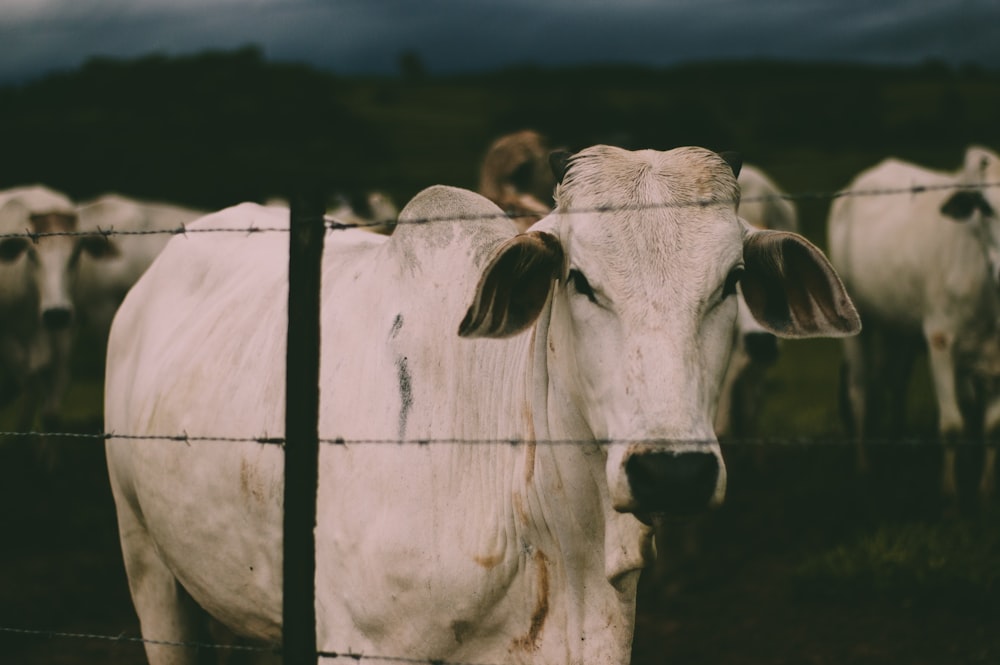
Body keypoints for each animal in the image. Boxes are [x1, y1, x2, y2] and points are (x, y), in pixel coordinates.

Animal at [828, 143, 1000, 500]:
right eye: (986, 207)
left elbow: (992, 426)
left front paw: (986, 490)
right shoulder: (940, 339)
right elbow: (952, 425)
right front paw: (949, 494)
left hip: (899, 330)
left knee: (892, 381)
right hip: (857, 327)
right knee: (860, 391)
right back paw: (864, 467)